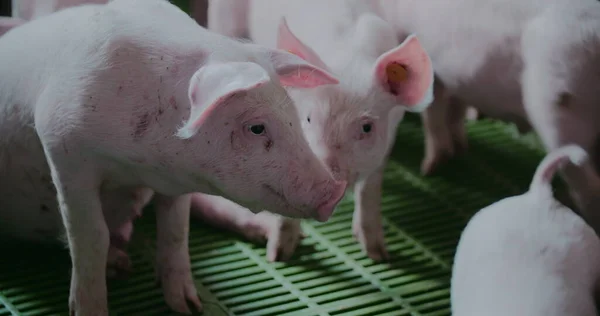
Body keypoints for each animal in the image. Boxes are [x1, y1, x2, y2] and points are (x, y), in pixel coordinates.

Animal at [0, 0, 346, 314]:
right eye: (256, 127)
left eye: (293, 116)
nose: (336, 191)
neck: (138, 164)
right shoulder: (63, 148)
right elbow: (90, 237)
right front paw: (91, 309)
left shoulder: (176, 181)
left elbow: (177, 230)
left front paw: (189, 307)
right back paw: (120, 265)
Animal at [204, 0, 434, 262]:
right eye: (308, 118)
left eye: (367, 127)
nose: (329, 180)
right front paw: (279, 256)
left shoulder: (388, 138)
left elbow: (370, 190)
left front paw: (379, 255)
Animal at [366, 0, 600, 235]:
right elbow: (451, 110)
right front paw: (458, 150)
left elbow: (432, 113)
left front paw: (429, 169)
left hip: (558, 106)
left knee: (588, 187)